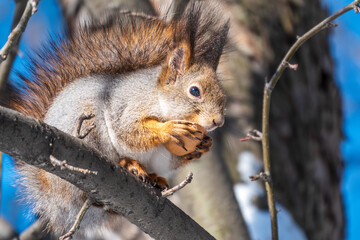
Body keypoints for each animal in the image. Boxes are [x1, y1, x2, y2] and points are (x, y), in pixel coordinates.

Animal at [1, 0, 229, 239]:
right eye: (194, 91)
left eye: (223, 97)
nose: (218, 122)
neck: (160, 100)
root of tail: (50, 191)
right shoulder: (126, 105)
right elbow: (128, 131)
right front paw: (168, 130)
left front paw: (203, 146)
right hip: (90, 129)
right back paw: (128, 164)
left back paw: (154, 178)